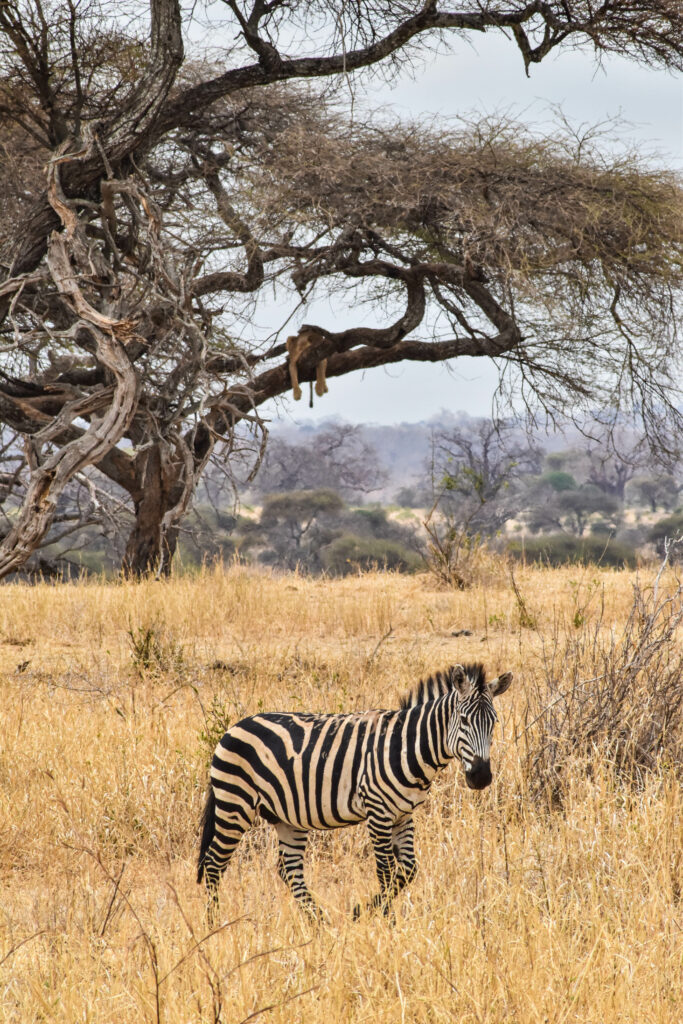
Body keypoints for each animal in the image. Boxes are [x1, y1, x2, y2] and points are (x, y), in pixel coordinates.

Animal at [194, 659, 509, 925]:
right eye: (464, 720)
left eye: (493, 722)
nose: (481, 777)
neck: (407, 747)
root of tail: (234, 727)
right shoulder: (378, 812)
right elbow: (386, 871)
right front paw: (386, 923)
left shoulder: (403, 815)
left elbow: (408, 871)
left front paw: (362, 912)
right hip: (235, 805)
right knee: (213, 864)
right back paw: (212, 926)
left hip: (287, 817)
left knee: (289, 870)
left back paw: (319, 922)